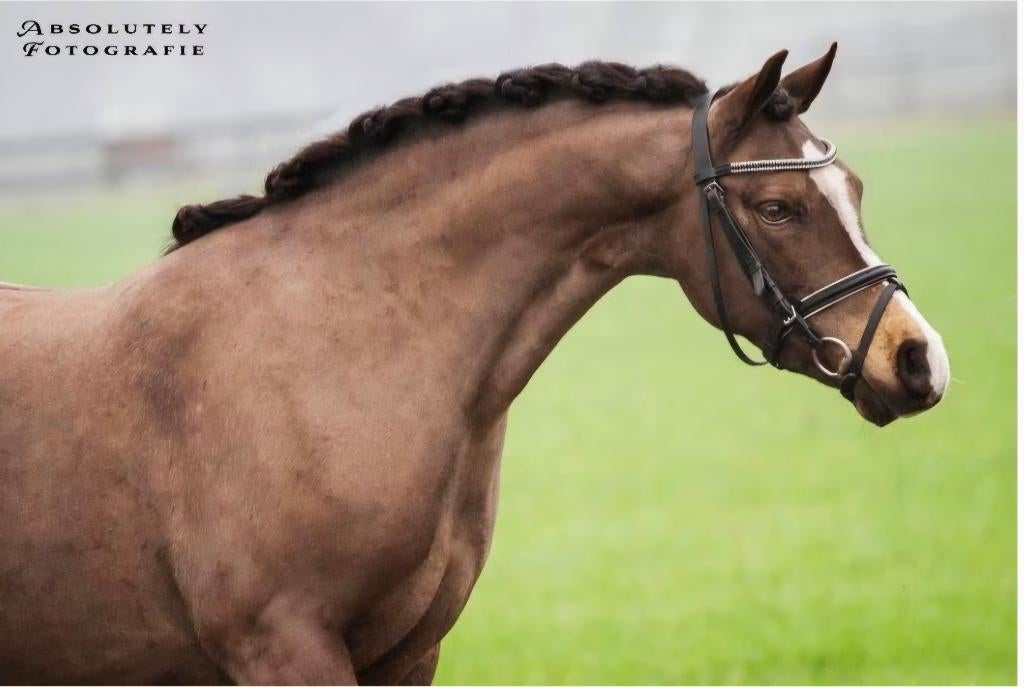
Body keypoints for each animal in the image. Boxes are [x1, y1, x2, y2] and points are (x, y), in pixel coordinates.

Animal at [0, 45, 949, 684]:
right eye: (779, 206)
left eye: (854, 190)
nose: (917, 360)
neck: (336, 349)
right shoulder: (283, 647)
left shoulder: (409, 653)